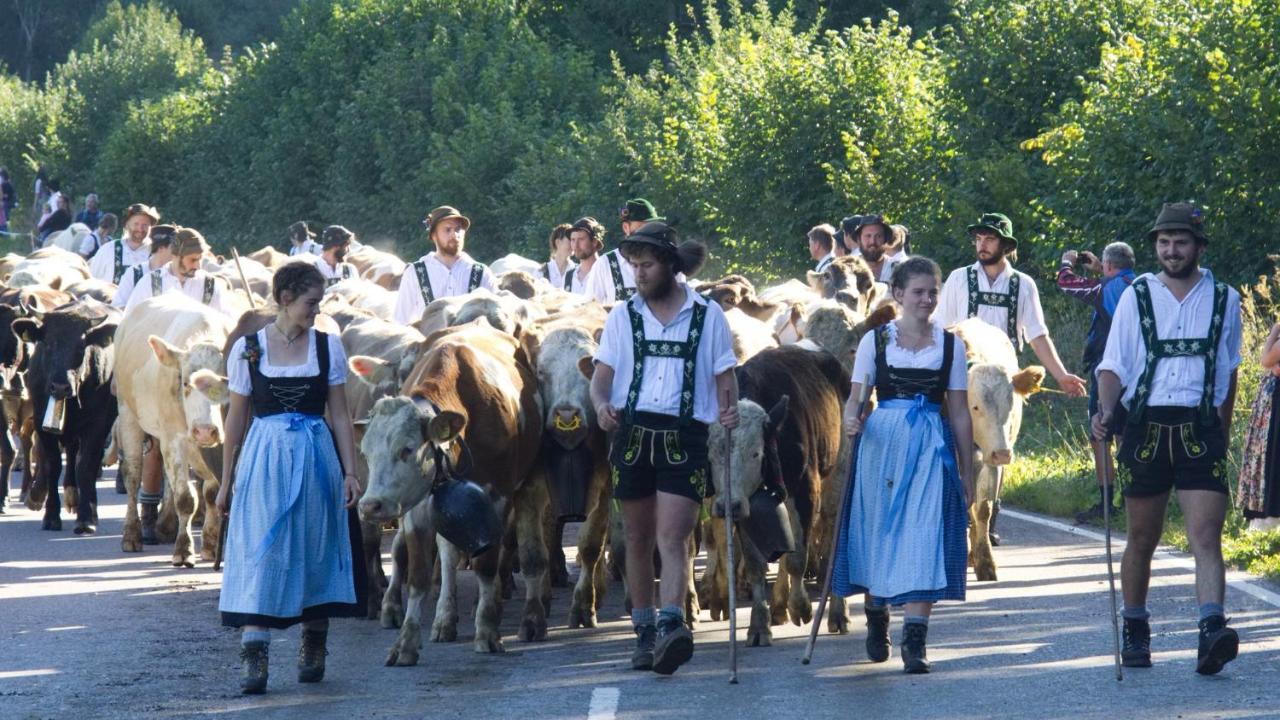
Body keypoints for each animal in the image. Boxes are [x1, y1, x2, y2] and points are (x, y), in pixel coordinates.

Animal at [11, 297, 119, 532]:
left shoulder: (97, 423)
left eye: (81, 347)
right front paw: (51, 516)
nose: (60, 387)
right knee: (69, 451)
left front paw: (86, 518)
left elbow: (85, 466)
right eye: (48, 343)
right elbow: (53, 464)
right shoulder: (41, 419)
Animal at [113, 294, 234, 563]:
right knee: (133, 476)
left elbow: (211, 493)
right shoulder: (174, 439)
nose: (205, 430)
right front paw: (183, 549)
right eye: (185, 383)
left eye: (225, 383)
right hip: (128, 415)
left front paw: (210, 544)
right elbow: (186, 498)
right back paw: (132, 535)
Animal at [355, 319, 550, 661]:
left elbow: (486, 566)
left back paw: (528, 617)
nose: (370, 506)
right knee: (447, 554)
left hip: (529, 482)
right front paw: (406, 642)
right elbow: (419, 575)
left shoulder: (497, 498)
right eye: (365, 452)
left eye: (407, 449)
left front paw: (487, 631)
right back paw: (445, 618)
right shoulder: (418, 506)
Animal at [947, 316, 1044, 579]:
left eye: (1011, 404)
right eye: (975, 406)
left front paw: (985, 562)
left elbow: (983, 509)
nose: (1002, 453)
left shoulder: (990, 459)